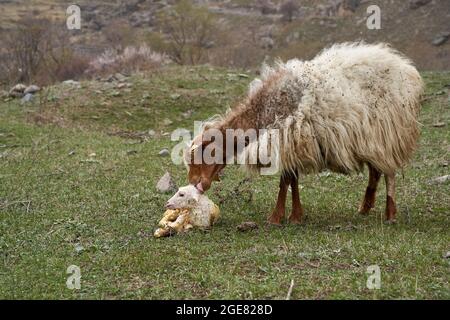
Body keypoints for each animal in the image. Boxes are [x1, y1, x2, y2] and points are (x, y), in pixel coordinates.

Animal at [185, 42, 424, 225]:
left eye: (201, 156)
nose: (196, 186)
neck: (265, 110)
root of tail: (406, 69)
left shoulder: (289, 139)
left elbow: (285, 181)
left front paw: (277, 217)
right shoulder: (291, 144)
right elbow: (292, 180)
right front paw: (295, 216)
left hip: (389, 133)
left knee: (389, 173)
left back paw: (390, 214)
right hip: (371, 139)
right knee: (376, 172)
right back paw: (364, 208)